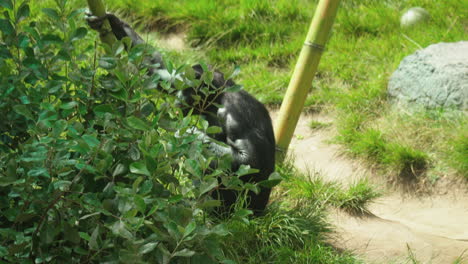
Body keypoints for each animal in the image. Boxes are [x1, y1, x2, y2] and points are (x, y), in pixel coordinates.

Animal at [86, 13, 276, 216]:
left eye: (187, 88)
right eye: (181, 85)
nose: (178, 96)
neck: (217, 98)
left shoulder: (236, 116)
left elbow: (250, 160)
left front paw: (189, 134)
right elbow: (160, 72)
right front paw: (110, 20)